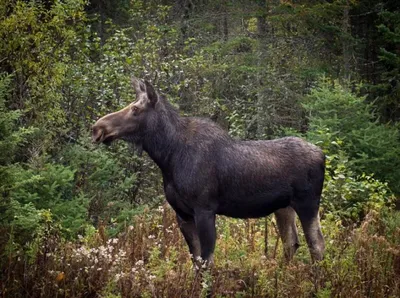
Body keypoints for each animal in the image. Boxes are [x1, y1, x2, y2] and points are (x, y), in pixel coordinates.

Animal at [93, 77, 324, 266]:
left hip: (308, 203)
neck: (168, 157)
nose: (98, 127)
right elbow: (196, 261)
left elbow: (206, 262)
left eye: (135, 109)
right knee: (291, 243)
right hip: (284, 207)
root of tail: (323, 155)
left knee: (317, 245)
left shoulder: (204, 209)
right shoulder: (182, 214)